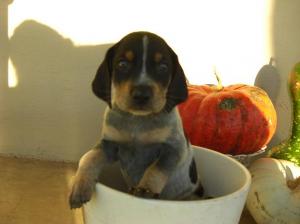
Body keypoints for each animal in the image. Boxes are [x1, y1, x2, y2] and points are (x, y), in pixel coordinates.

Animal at [69, 31, 202, 208]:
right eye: (122, 64)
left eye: (163, 67)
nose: (141, 95)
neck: (137, 121)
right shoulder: (109, 144)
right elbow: (89, 157)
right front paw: (80, 185)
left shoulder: (174, 148)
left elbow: (156, 168)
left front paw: (145, 188)